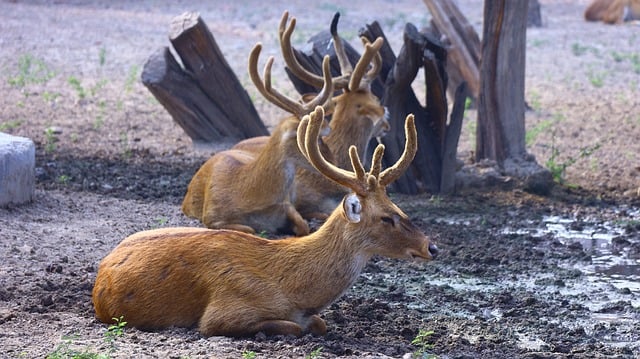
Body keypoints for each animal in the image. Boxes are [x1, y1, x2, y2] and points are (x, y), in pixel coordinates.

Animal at [91, 107, 440, 338]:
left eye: (398, 206)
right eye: (386, 217)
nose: (431, 246)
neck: (291, 287)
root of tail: (101, 272)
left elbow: (320, 322)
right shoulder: (223, 311)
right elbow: (294, 327)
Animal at [178, 41, 332, 236]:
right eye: (310, 137)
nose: (332, 159)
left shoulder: (286, 204)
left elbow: (302, 225)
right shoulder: (211, 217)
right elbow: (249, 229)